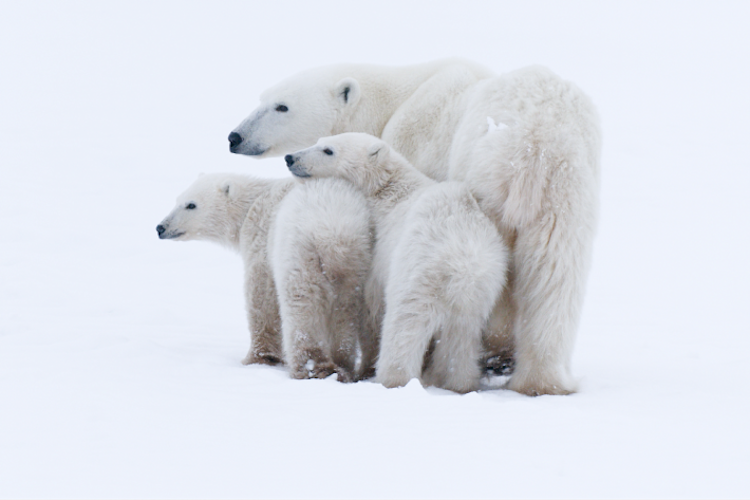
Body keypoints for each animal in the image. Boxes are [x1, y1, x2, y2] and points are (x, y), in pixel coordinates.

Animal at [156, 173, 374, 382]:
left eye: (191, 204)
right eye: (177, 199)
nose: (160, 227)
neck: (252, 203)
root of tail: (334, 231)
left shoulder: (261, 237)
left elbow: (262, 296)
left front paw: (259, 358)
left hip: (300, 249)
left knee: (301, 304)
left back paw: (312, 368)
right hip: (357, 259)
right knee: (345, 309)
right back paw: (343, 365)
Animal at [285, 133, 508, 394]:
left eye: (328, 150)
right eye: (319, 141)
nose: (290, 158)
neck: (389, 190)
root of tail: (463, 258)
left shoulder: (379, 248)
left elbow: (372, 305)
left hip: (419, 269)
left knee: (405, 323)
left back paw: (392, 379)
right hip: (480, 287)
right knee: (461, 335)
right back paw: (459, 383)